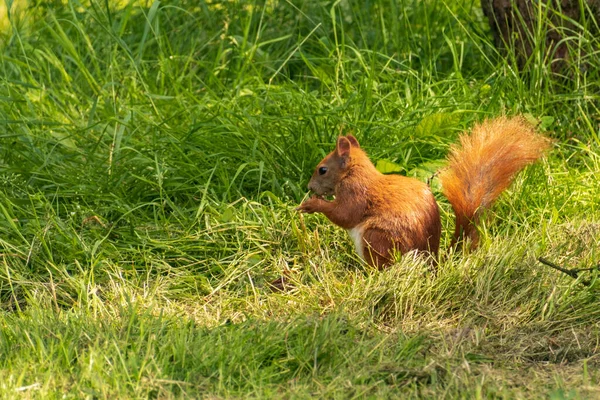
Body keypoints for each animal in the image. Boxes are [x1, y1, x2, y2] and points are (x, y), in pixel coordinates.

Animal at [298, 115, 552, 268]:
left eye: (322, 170)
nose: (310, 187)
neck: (354, 173)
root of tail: (432, 261)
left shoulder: (355, 193)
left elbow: (345, 215)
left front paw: (312, 204)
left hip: (376, 239)